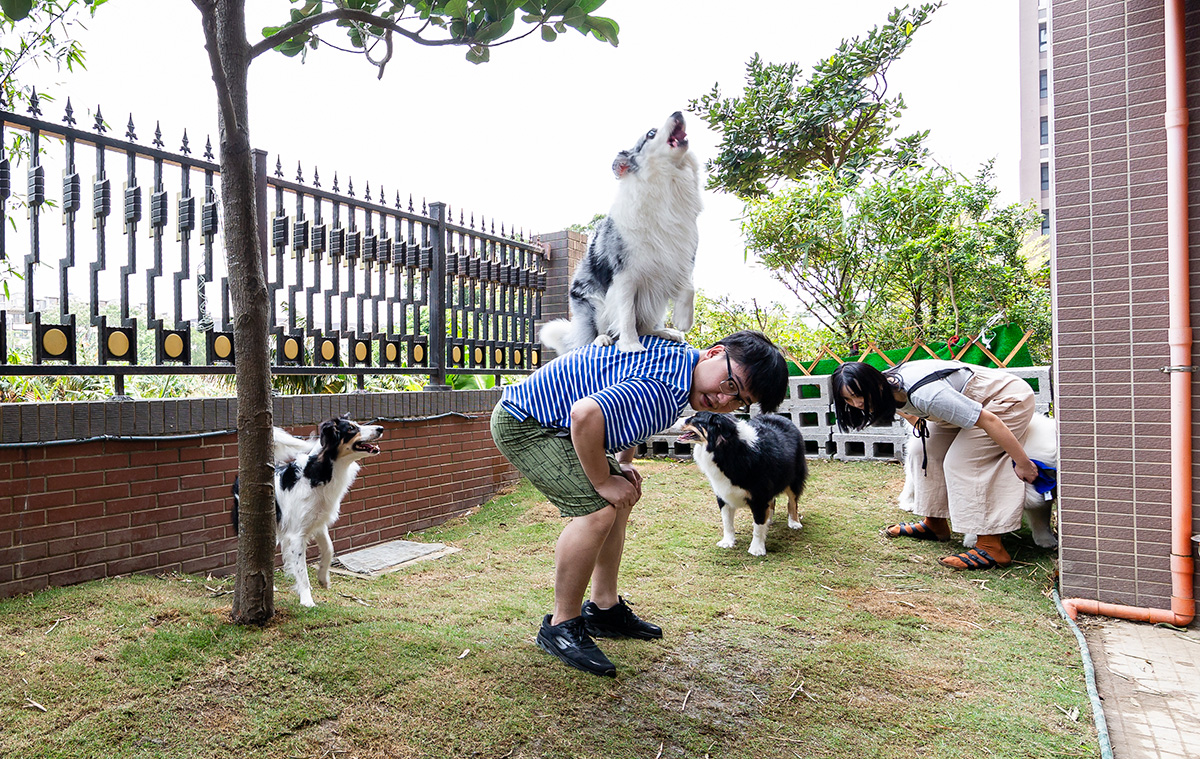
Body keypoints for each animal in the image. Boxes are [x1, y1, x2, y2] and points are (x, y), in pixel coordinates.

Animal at [231, 415, 381, 605]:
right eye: (351, 428)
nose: (381, 428)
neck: (319, 472)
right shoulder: (297, 534)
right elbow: (301, 570)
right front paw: (307, 599)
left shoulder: (318, 523)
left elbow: (329, 549)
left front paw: (323, 578)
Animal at [537, 111, 700, 355]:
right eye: (651, 133)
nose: (678, 113)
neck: (666, 182)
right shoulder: (625, 275)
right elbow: (627, 314)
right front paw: (630, 345)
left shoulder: (681, 258)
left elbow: (689, 287)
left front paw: (683, 320)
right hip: (592, 302)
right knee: (594, 335)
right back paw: (602, 339)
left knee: (645, 326)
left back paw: (665, 331)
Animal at [681, 413, 811, 554]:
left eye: (694, 418)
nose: (678, 418)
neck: (729, 450)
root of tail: (778, 415)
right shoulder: (723, 493)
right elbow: (727, 522)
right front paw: (728, 541)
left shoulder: (759, 497)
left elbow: (758, 525)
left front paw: (757, 548)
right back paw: (769, 520)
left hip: (794, 478)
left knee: (792, 502)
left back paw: (794, 522)